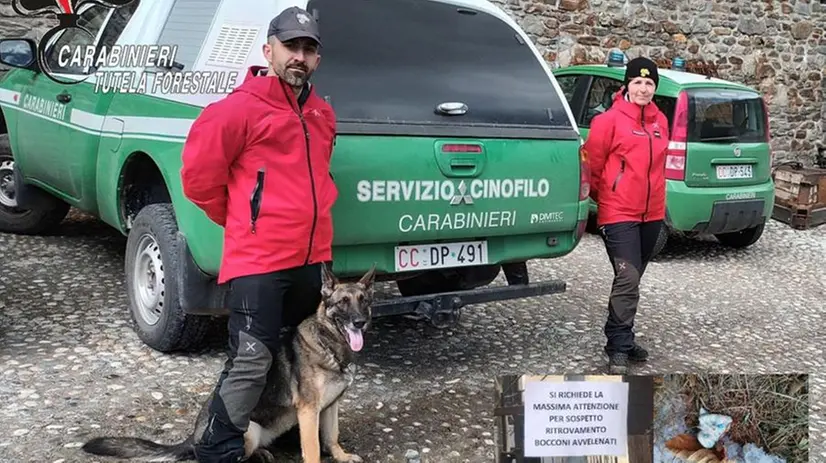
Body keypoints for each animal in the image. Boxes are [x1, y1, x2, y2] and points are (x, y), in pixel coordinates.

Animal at [83, 264, 374, 463]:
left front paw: (341, 455)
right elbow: (312, 448)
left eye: (364, 302)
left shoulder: (329, 407)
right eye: (343, 303)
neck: (330, 344)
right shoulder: (309, 411)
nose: (359, 322)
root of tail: (194, 436)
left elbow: (331, 436)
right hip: (249, 430)